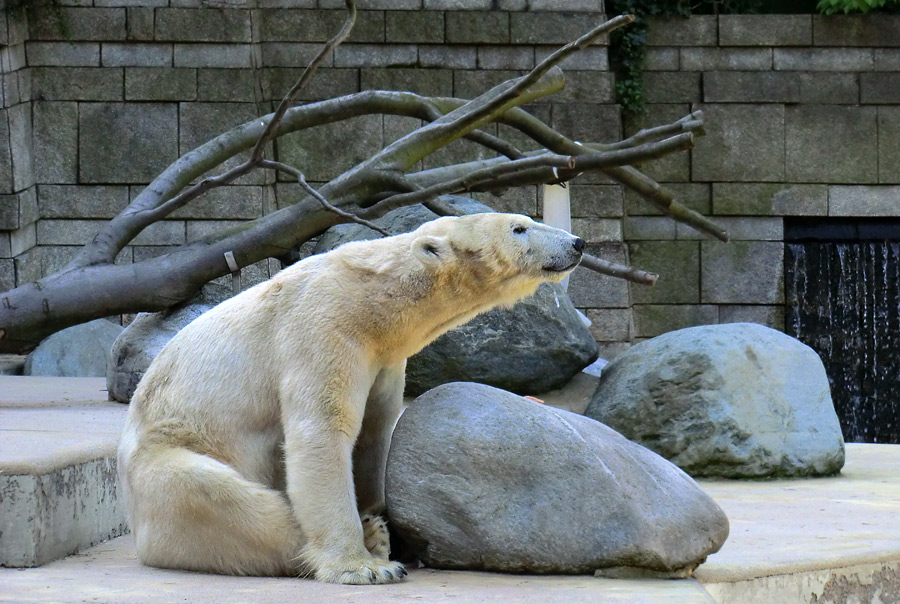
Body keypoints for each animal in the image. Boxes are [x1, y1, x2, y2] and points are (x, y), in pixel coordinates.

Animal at [118, 212, 584, 584]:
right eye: (519, 227)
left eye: (528, 219)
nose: (577, 243)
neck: (375, 300)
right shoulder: (322, 327)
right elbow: (323, 430)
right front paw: (364, 566)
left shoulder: (385, 358)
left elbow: (374, 432)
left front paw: (375, 515)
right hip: (168, 460)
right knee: (230, 502)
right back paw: (365, 545)